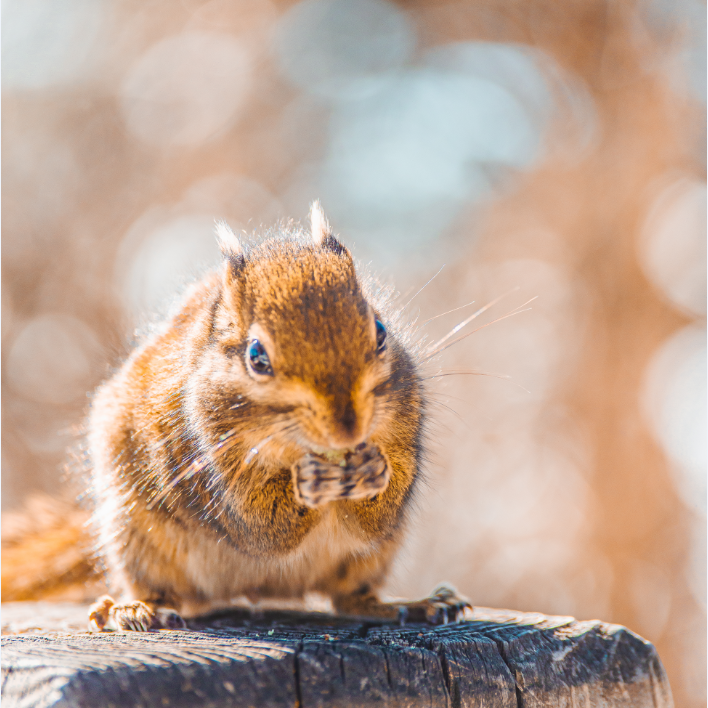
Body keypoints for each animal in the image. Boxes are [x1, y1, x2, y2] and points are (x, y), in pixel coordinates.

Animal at [12, 202, 470, 628]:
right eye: (257, 356)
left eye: (380, 331)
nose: (348, 432)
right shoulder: (210, 461)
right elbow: (259, 524)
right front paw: (308, 483)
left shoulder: (402, 429)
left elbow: (380, 516)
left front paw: (375, 470)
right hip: (132, 534)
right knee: (164, 590)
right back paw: (136, 609)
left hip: (373, 558)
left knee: (349, 597)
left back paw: (414, 605)